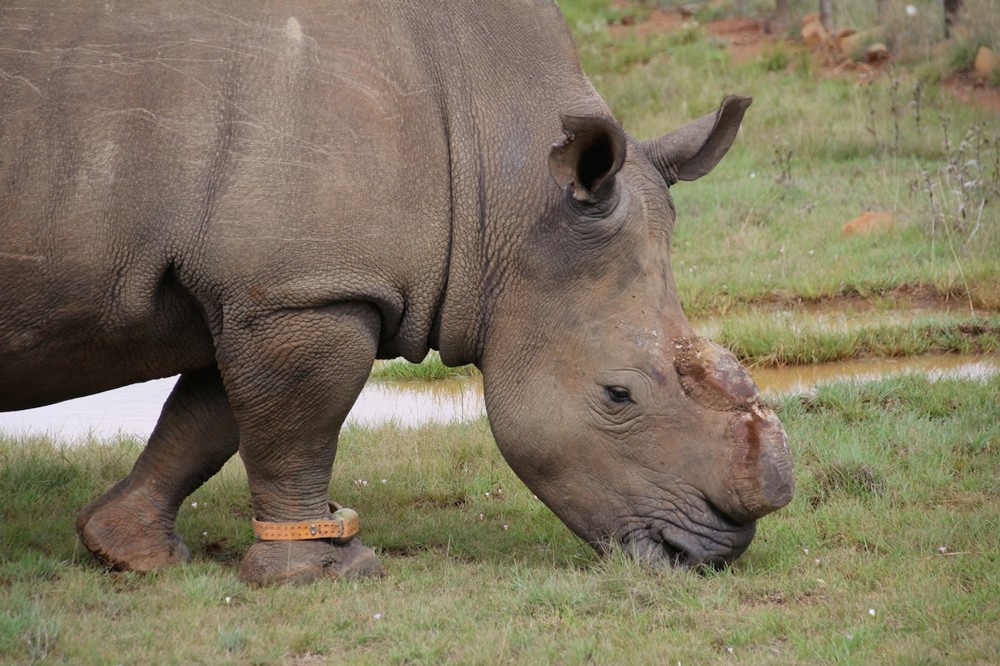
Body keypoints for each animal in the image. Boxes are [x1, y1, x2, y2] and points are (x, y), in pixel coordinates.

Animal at [1, 1, 796, 580]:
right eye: (618, 395)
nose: (708, 555)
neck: (504, 182)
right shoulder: (308, 289)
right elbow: (298, 426)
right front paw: (323, 573)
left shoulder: (268, 286)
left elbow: (207, 418)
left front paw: (129, 553)